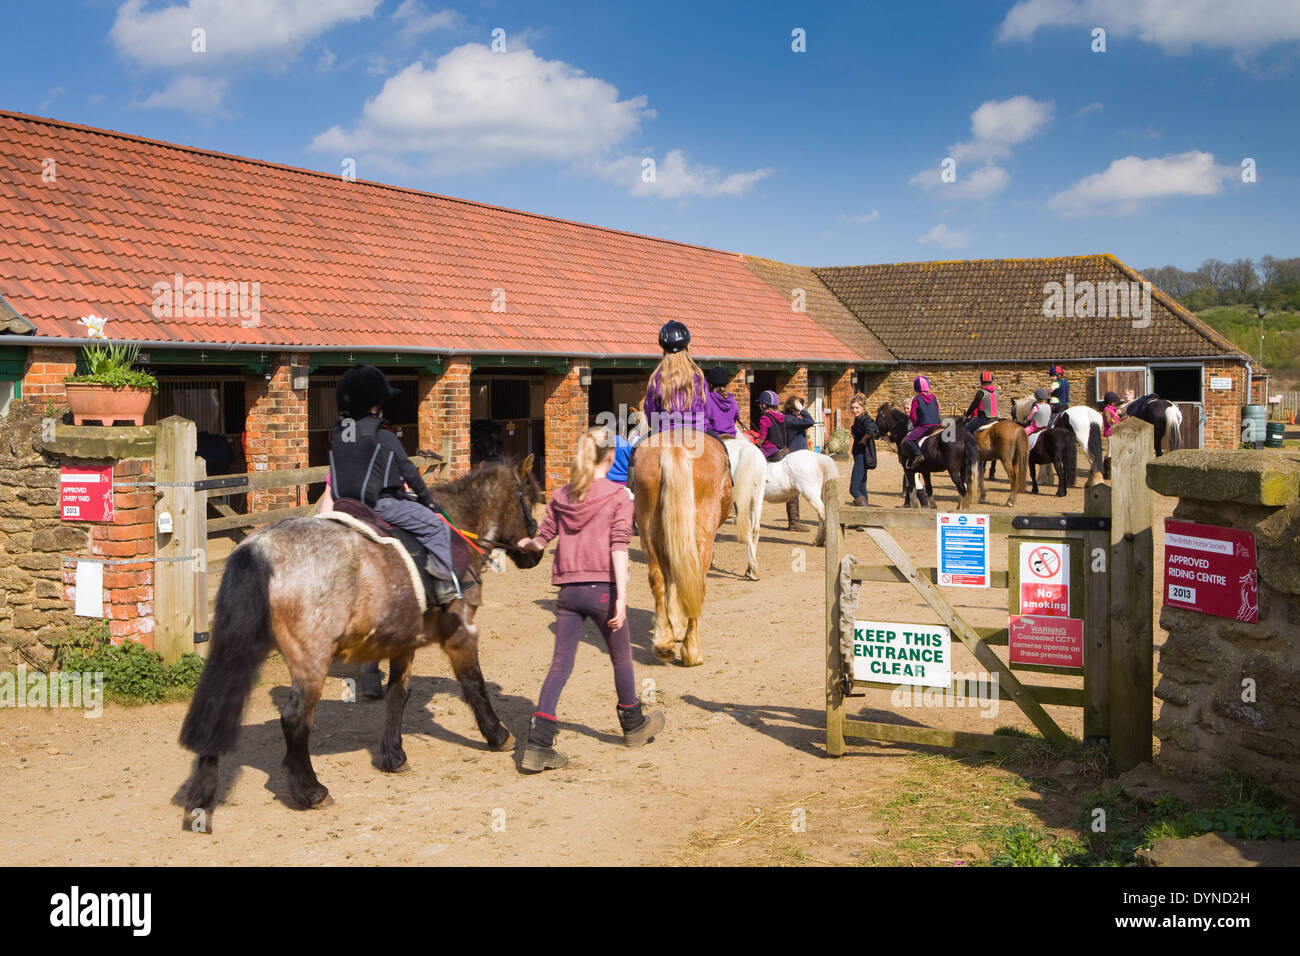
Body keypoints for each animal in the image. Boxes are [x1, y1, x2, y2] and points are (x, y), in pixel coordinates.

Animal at [178, 457, 544, 818]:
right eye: (529, 498)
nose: (537, 554)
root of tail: (259, 548)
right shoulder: (462, 630)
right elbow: (474, 683)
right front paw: (498, 735)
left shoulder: (404, 641)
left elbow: (398, 694)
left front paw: (393, 756)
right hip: (311, 658)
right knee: (294, 718)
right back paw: (310, 791)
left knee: (218, 709)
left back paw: (202, 795)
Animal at [631, 428, 733, 667]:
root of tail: (675, 447)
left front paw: (673, 625)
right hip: (702, 537)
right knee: (697, 583)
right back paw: (691, 651)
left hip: (649, 534)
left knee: (658, 579)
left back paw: (663, 644)